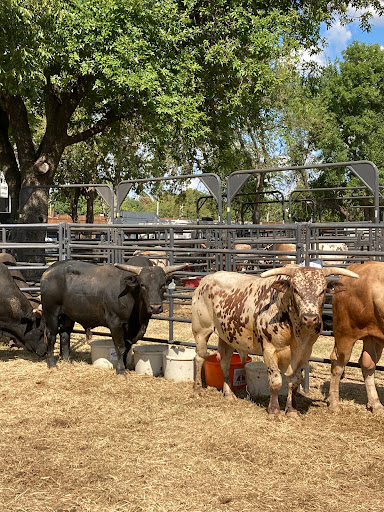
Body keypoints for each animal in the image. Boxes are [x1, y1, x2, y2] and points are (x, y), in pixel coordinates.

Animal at [40, 260, 188, 372]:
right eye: (142, 285)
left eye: (162, 285)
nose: (155, 307)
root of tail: (49, 270)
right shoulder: (115, 323)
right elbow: (120, 347)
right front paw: (121, 370)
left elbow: (127, 347)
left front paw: (124, 366)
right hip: (51, 312)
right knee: (51, 336)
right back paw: (51, 363)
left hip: (67, 315)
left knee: (65, 334)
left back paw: (67, 361)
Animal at [192, 266, 356, 418]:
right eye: (295, 289)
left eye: (322, 290)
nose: (310, 317)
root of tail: (206, 279)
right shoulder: (270, 350)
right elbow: (276, 381)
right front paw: (274, 411)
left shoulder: (305, 352)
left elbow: (294, 381)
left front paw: (291, 410)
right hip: (201, 331)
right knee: (199, 358)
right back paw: (197, 390)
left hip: (227, 336)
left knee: (225, 362)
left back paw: (229, 394)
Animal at [328, 262, 384, 414]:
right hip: (345, 332)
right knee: (338, 362)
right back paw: (334, 404)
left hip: (372, 335)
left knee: (367, 363)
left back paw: (376, 404)